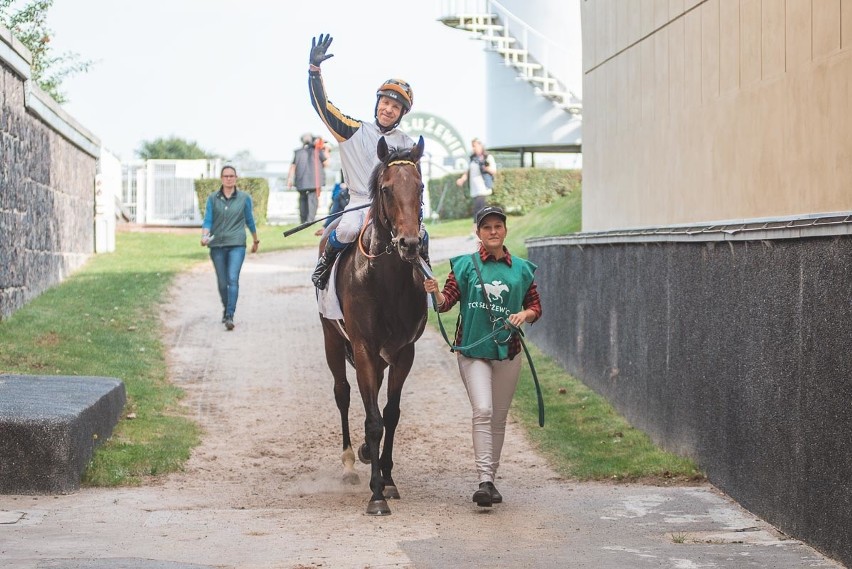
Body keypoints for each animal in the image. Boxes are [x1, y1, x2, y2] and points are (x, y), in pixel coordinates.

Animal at [320, 134, 426, 516]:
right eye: (386, 189)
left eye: (420, 186)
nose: (410, 243)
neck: (385, 280)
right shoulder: (363, 347)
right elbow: (373, 420)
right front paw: (376, 493)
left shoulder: (404, 351)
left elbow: (390, 414)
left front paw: (388, 481)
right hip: (332, 339)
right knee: (342, 393)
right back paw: (351, 462)